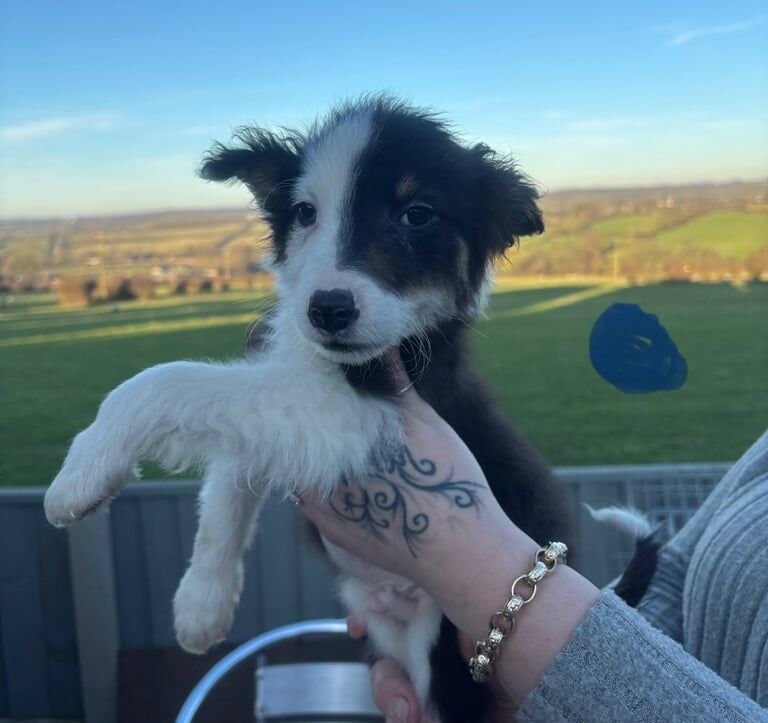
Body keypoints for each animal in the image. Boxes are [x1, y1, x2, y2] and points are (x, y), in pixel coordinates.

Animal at [46, 97, 576, 723]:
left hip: (450, 657)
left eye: (418, 214)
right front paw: (201, 603)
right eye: (304, 212)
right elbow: (226, 485)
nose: (327, 309)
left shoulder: (354, 413)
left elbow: (166, 383)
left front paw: (82, 473)